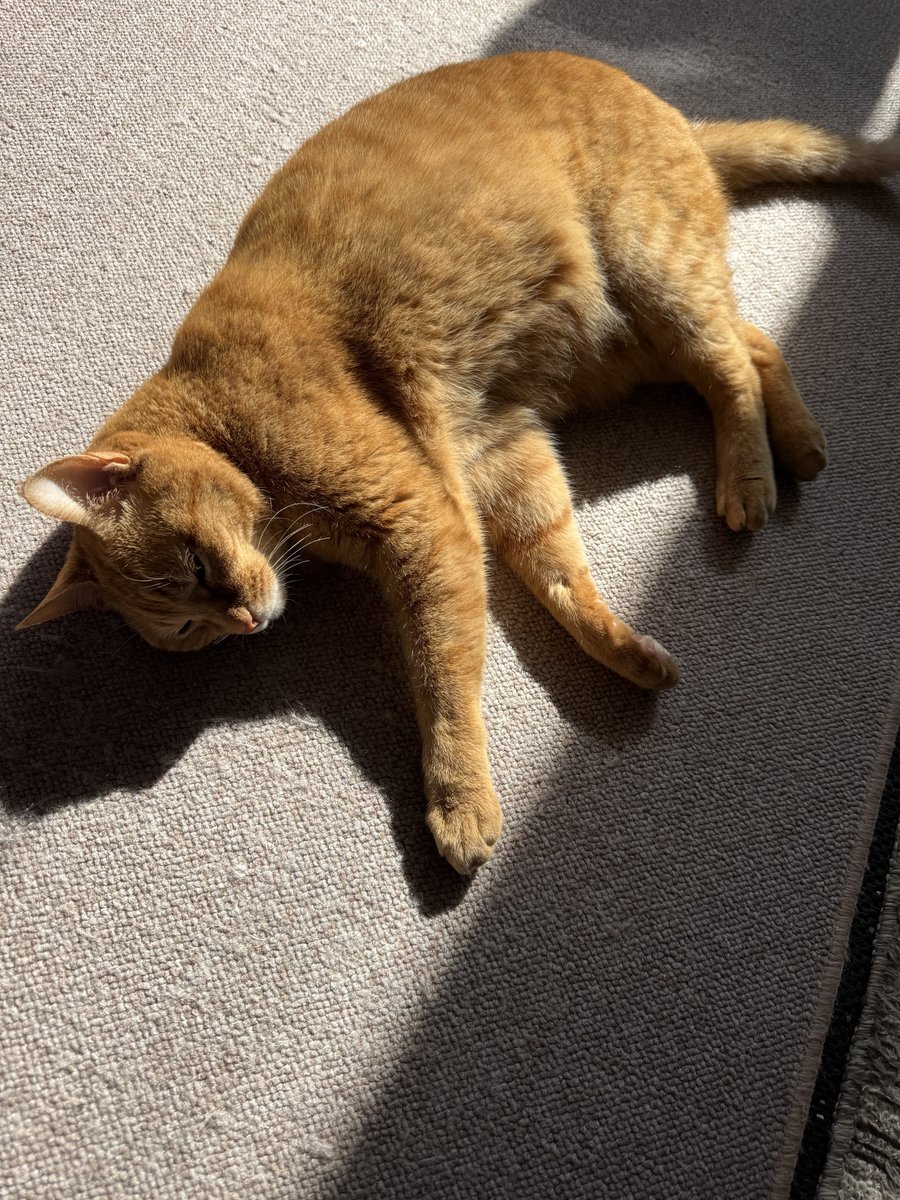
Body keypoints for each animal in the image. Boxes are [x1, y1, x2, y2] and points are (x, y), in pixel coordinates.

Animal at [17, 51, 900, 873]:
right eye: (188, 631)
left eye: (194, 572)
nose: (243, 620)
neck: (225, 420)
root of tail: (673, 110)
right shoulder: (497, 454)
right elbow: (559, 577)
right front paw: (623, 651)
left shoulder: (423, 522)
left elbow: (443, 679)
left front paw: (458, 801)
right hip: (628, 343)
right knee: (756, 341)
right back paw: (802, 447)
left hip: (654, 273)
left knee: (731, 362)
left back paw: (752, 478)